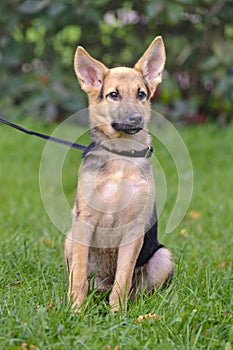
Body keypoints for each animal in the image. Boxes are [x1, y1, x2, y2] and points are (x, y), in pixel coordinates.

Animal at [64, 37, 174, 312]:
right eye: (113, 95)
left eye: (141, 94)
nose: (135, 118)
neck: (121, 156)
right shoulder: (84, 221)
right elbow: (78, 275)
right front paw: (75, 311)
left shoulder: (133, 228)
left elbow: (123, 279)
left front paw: (117, 314)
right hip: (70, 239)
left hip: (163, 257)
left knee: (133, 289)